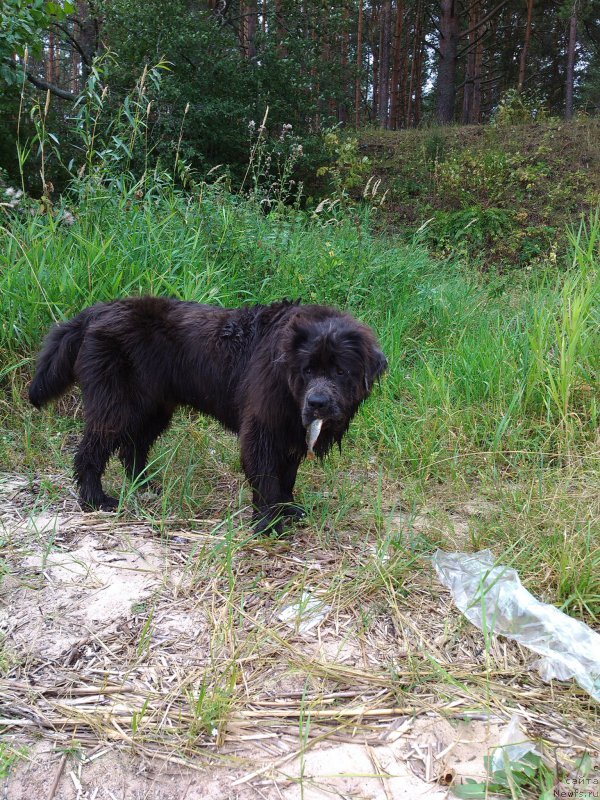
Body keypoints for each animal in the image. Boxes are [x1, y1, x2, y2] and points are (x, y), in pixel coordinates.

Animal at [28, 296, 386, 536]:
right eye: (308, 369)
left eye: (340, 371)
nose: (317, 403)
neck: (287, 379)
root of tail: (96, 311)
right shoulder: (263, 428)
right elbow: (266, 478)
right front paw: (268, 524)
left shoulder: (290, 432)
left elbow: (287, 477)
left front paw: (288, 510)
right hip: (117, 405)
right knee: (91, 451)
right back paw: (96, 500)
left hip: (153, 408)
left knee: (133, 448)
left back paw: (147, 486)